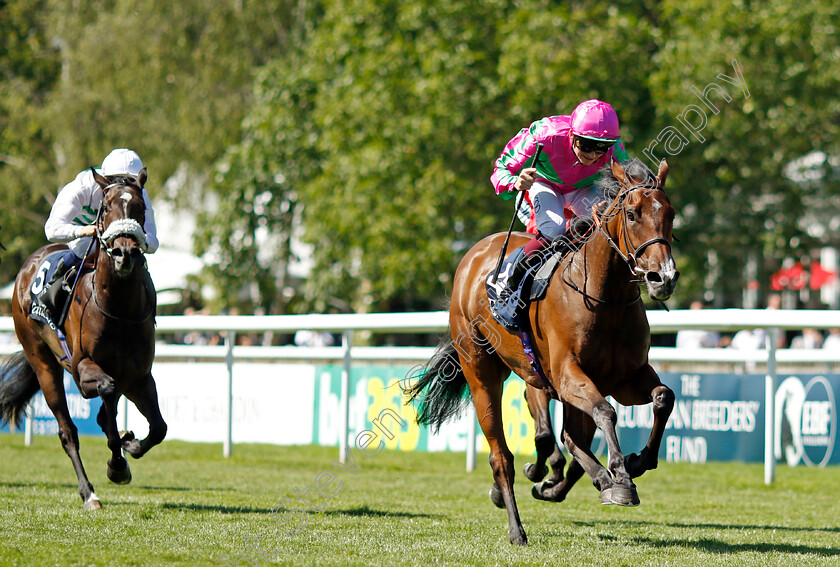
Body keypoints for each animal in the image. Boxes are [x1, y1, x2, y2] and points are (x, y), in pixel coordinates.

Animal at [0, 169, 166, 510]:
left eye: (141, 208)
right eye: (105, 208)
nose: (125, 253)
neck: (117, 308)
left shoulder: (140, 376)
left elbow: (158, 428)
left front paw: (130, 446)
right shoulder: (81, 370)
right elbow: (106, 399)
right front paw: (116, 465)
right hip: (43, 363)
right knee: (68, 431)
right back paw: (89, 493)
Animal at [406, 158, 676, 544]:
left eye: (670, 213)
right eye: (632, 213)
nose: (663, 278)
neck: (603, 298)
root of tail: (474, 254)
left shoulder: (625, 378)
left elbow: (662, 398)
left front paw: (637, 463)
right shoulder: (566, 375)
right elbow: (604, 413)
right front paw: (620, 476)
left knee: (570, 437)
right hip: (482, 373)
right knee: (502, 457)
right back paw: (517, 527)